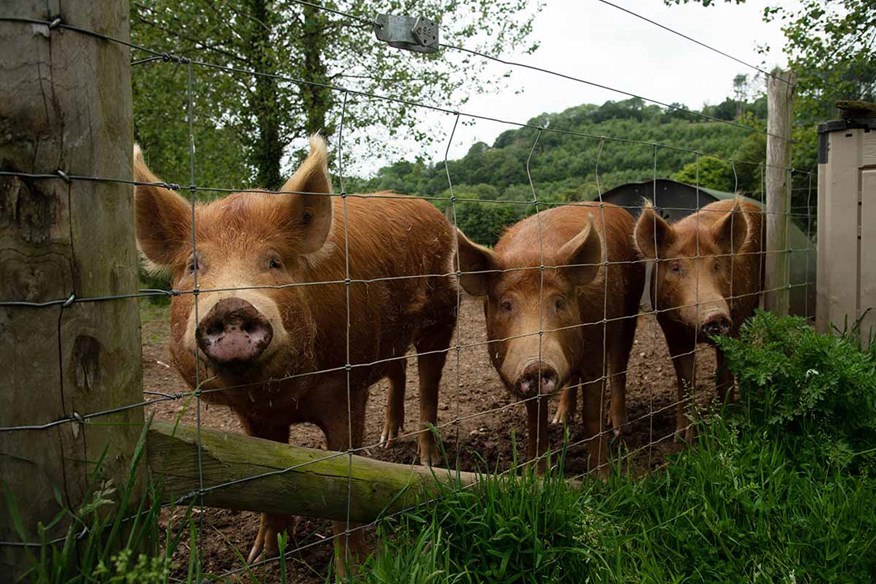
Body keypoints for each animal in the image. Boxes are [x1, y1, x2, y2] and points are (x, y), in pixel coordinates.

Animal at [133, 135, 458, 572]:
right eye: (194, 266)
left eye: (274, 261)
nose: (230, 306)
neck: (284, 396)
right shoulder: (252, 416)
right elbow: (267, 479)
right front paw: (261, 557)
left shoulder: (346, 387)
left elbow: (347, 477)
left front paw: (352, 570)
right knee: (398, 370)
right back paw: (387, 442)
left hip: (443, 314)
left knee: (429, 381)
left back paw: (428, 461)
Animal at [458, 203, 644, 472]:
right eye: (505, 304)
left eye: (559, 302)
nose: (536, 365)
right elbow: (536, 423)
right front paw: (534, 475)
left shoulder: (596, 354)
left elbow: (592, 417)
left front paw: (602, 476)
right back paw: (561, 420)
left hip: (631, 307)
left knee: (620, 366)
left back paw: (619, 428)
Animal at [632, 197, 764, 438]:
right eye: (675, 267)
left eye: (717, 265)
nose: (715, 315)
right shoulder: (672, 332)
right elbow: (685, 380)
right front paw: (682, 438)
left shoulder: (731, 329)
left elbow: (724, 378)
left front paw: (724, 425)